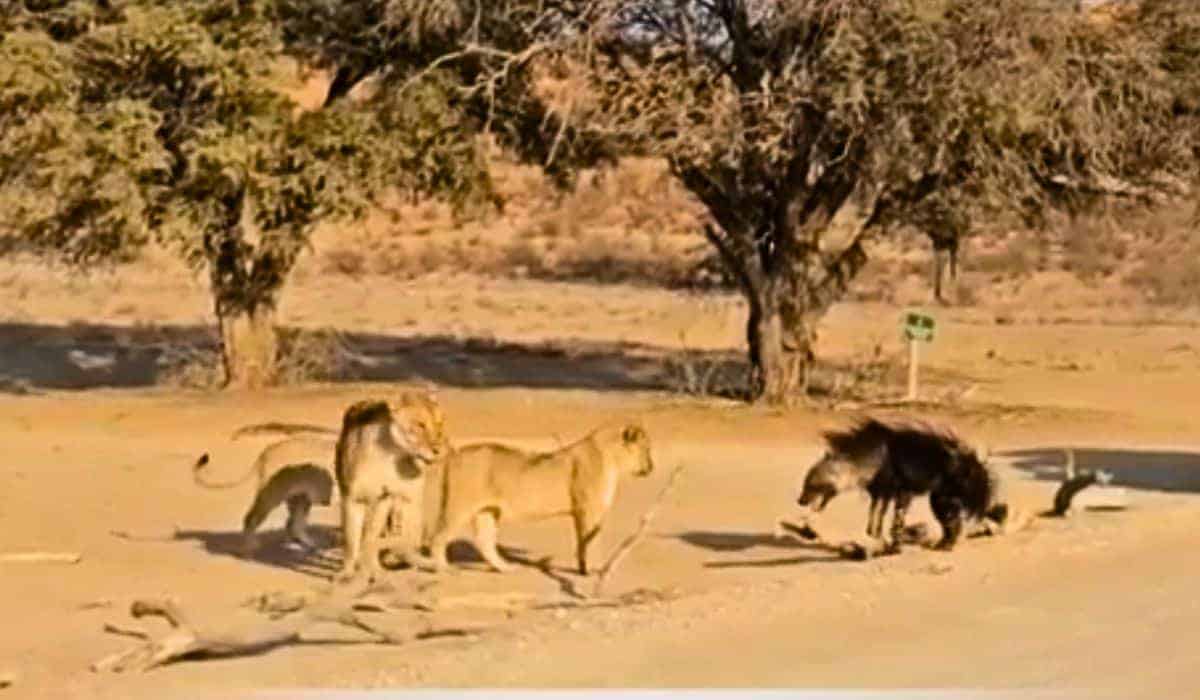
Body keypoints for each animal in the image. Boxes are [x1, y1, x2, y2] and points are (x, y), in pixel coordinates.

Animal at [336, 391, 451, 583]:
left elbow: (370, 538)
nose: (439, 449)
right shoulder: (351, 497)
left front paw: (371, 569)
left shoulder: (385, 497)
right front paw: (347, 573)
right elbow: (351, 538)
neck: (389, 452)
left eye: (440, 423)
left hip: (410, 500)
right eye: (420, 425)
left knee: (409, 538)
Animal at [424, 422, 657, 576]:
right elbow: (591, 542)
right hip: (458, 507)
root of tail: (456, 454)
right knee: (437, 537)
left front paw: (584, 568)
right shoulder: (588, 510)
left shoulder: (582, 512)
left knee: (485, 541)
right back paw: (444, 569)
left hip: (487, 510)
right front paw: (591, 569)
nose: (651, 468)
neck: (612, 459)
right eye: (646, 449)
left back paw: (506, 568)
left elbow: (584, 542)